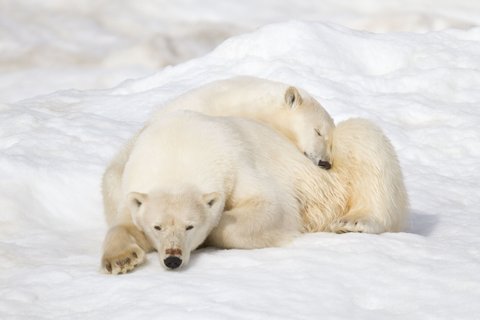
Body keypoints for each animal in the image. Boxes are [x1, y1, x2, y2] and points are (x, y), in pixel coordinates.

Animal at [102, 111, 408, 274]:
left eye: (190, 226)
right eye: (157, 226)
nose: (173, 259)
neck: (178, 148)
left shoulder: (236, 163)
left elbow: (273, 208)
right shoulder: (129, 182)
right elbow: (122, 223)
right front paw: (121, 259)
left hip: (334, 175)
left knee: (362, 137)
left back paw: (355, 220)